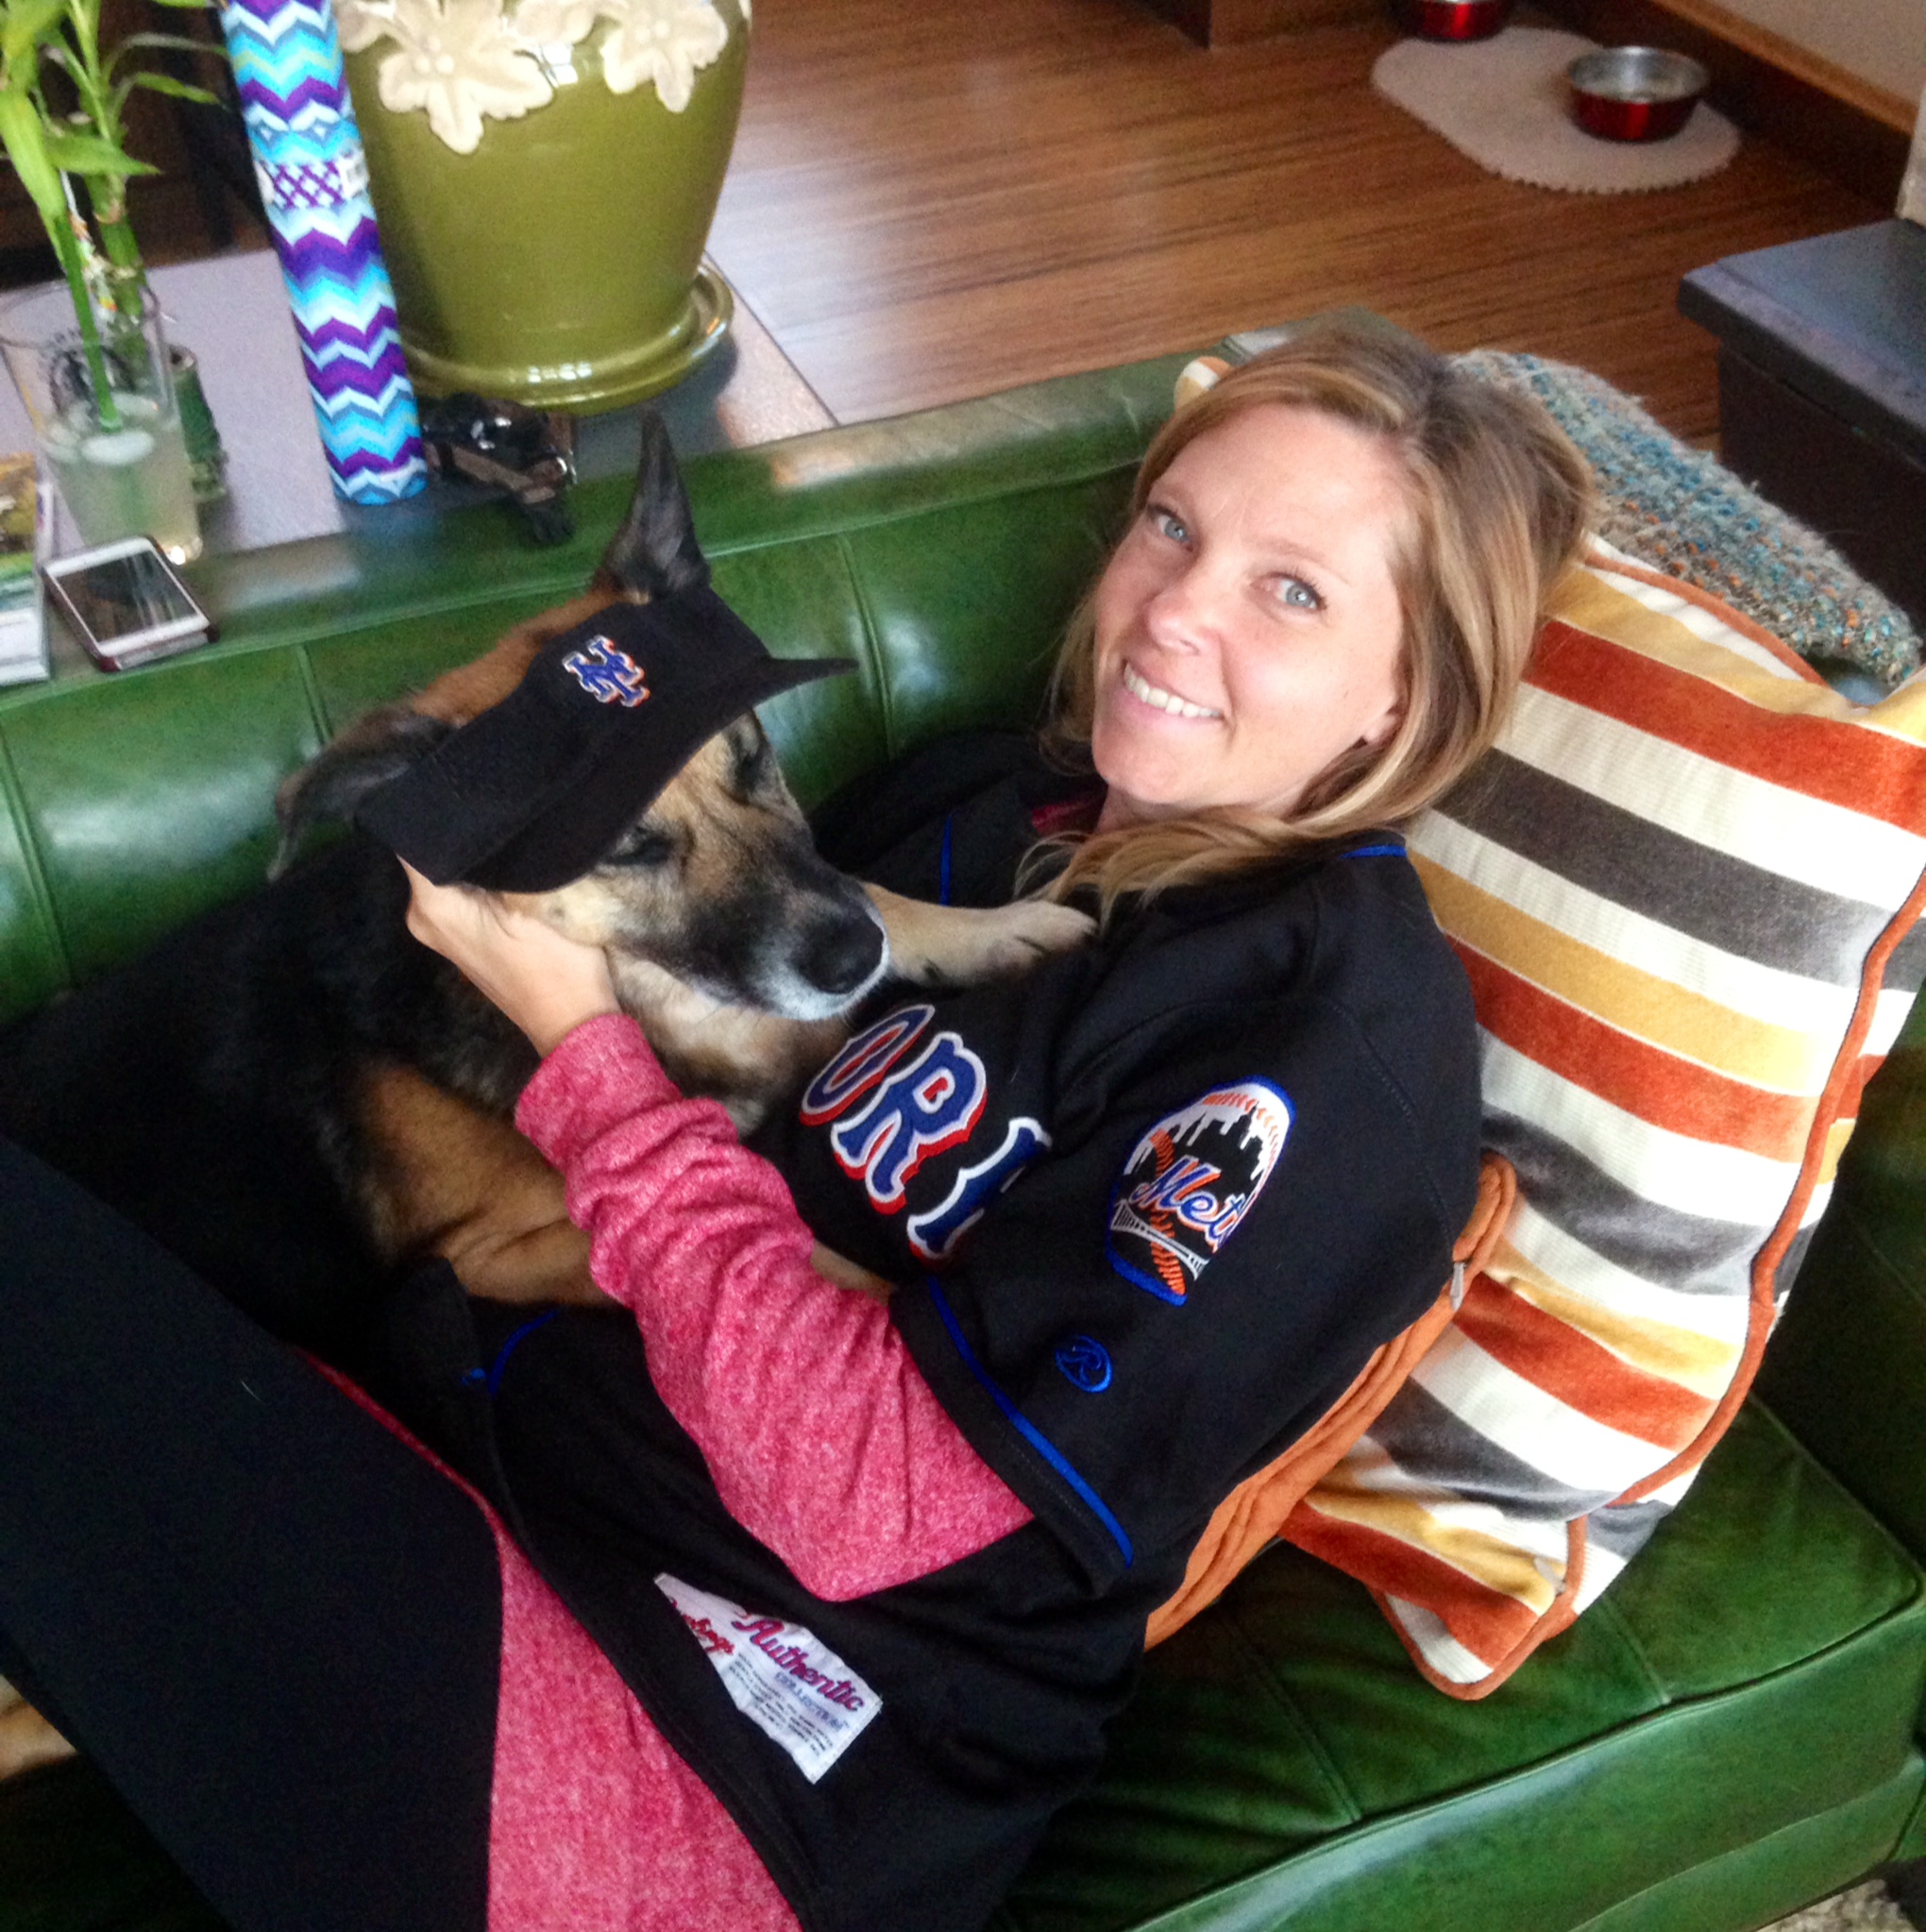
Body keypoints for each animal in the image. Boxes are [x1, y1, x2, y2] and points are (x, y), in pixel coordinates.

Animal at [0, 418, 1092, 1368]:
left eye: (752, 756)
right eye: (627, 846)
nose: (851, 961)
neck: (648, 995)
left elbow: (859, 878)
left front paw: (985, 929)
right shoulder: (508, 1254)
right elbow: (800, 1264)